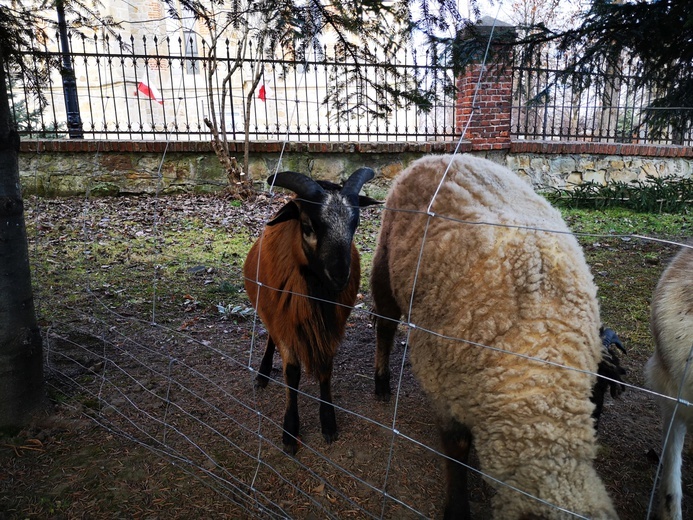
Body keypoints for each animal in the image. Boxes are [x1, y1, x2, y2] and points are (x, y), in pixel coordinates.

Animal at [241, 169, 376, 452]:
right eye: (307, 227)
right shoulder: (284, 322)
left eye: (355, 225)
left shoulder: (331, 327)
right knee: (270, 338)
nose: (340, 276)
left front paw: (328, 423)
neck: (316, 295)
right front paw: (290, 432)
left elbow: (325, 367)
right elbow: (292, 373)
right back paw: (262, 374)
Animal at [370, 154, 620, 520]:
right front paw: (457, 509)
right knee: (385, 325)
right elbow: (456, 448)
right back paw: (382, 382)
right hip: (385, 257)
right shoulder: (441, 381)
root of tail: (440, 155)